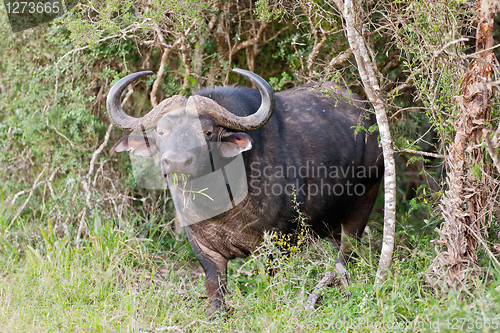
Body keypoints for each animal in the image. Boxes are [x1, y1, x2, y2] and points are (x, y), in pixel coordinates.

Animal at [105, 68, 382, 316]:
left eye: (207, 132)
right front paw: (215, 314)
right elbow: (215, 285)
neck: (220, 205)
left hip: (364, 201)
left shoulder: (278, 241)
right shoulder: (203, 247)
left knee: (347, 253)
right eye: (162, 132)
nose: (176, 162)